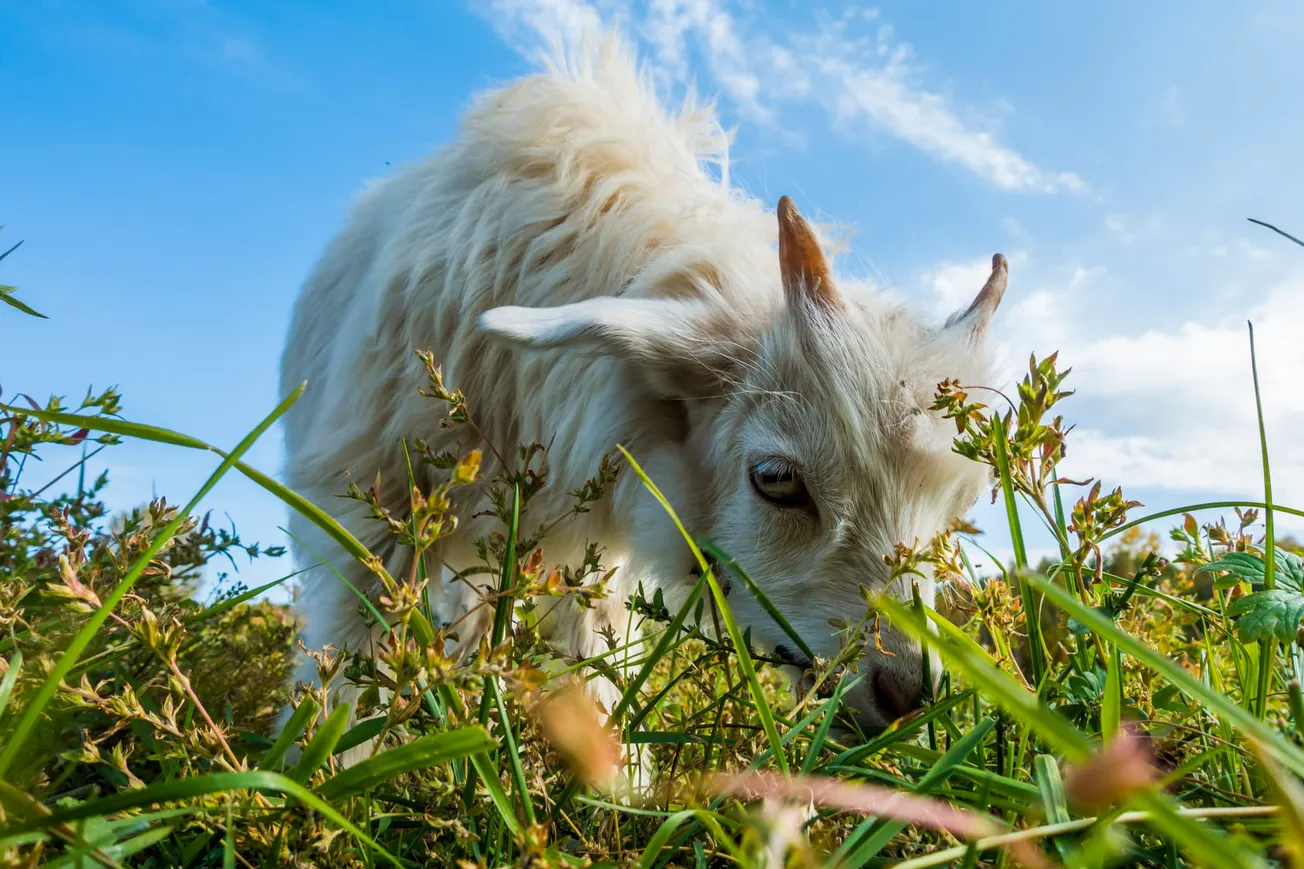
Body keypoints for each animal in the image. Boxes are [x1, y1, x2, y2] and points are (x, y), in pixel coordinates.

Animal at [277, 30, 1007, 763]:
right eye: (774, 478)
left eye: (952, 513)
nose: (909, 693)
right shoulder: (372, 495)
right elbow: (358, 645)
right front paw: (325, 759)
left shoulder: (602, 543)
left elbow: (593, 649)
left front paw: (619, 773)